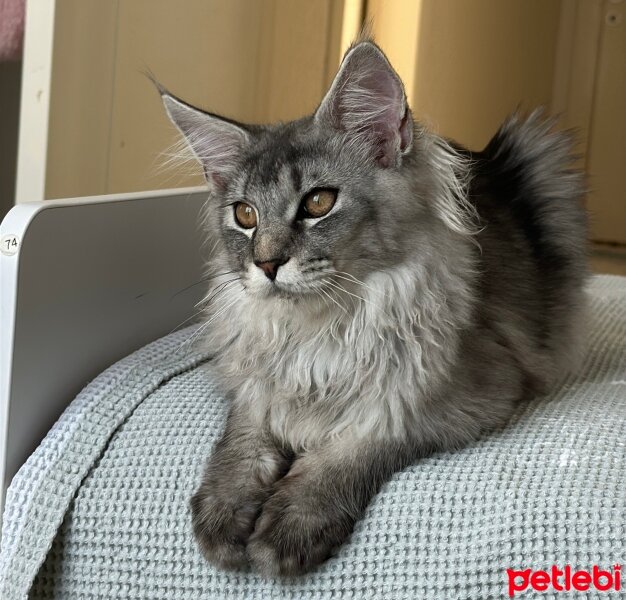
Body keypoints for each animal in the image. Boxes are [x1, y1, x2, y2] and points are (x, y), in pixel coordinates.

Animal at [158, 39, 588, 576]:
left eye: (318, 203)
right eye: (245, 215)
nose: (266, 264)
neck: (320, 327)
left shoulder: (449, 400)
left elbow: (353, 447)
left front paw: (291, 523)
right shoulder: (256, 385)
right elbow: (243, 440)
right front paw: (223, 510)